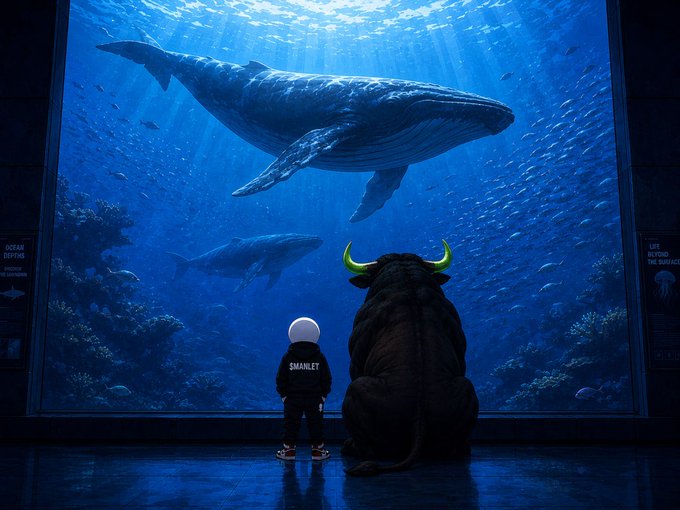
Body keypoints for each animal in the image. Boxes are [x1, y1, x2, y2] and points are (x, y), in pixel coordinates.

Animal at [341, 240, 478, 476]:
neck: (408, 284)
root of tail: (419, 419)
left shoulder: (357, 351)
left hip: (355, 390)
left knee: (366, 448)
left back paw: (349, 446)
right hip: (467, 388)